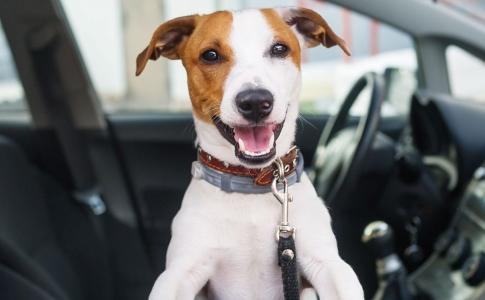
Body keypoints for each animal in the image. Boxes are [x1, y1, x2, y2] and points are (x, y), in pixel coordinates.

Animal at [136, 6, 364, 300]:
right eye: (210, 55)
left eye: (279, 49)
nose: (255, 102)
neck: (251, 183)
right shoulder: (179, 273)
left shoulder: (328, 264)